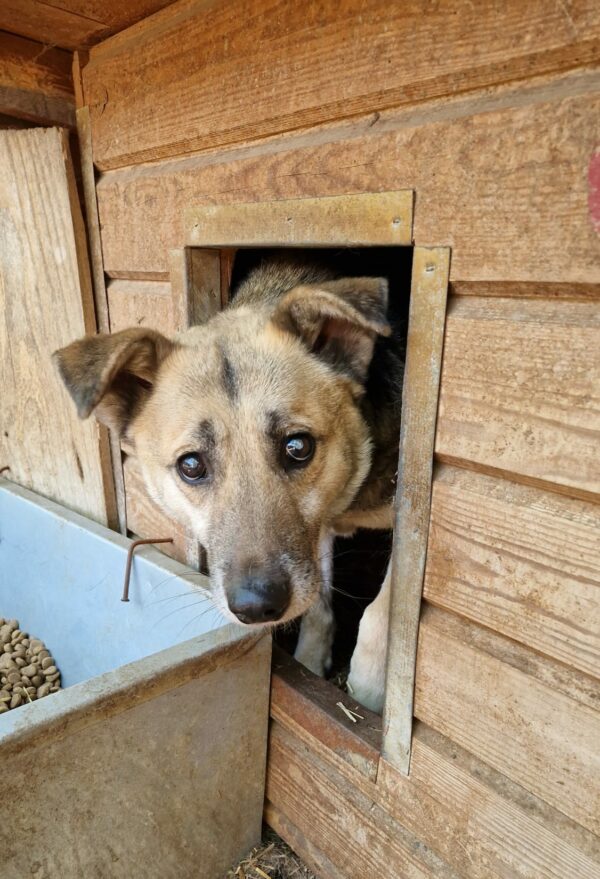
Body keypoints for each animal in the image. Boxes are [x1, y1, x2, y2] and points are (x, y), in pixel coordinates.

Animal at [55, 256, 404, 716]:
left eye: (298, 447)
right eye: (191, 465)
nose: (257, 607)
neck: (350, 491)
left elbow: (383, 607)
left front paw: (369, 689)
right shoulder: (317, 534)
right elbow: (319, 604)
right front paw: (311, 660)